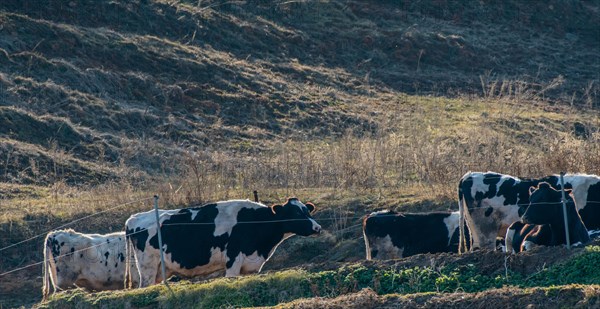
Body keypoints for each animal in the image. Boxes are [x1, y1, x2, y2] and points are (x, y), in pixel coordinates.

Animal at [126, 197, 322, 286]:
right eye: (295, 213)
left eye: (307, 211)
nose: (317, 227)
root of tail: (134, 218)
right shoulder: (233, 259)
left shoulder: (252, 265)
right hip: (148, 266)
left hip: (161, 269)